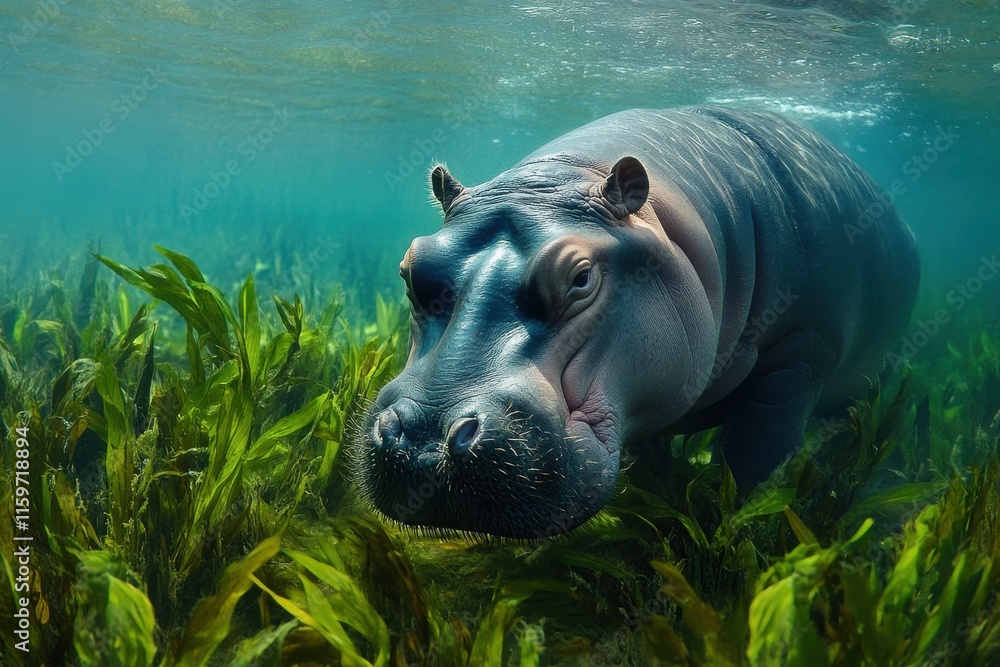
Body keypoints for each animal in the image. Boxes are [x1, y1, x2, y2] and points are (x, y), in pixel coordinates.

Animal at [353, 106, 919, 539]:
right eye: (411, 269)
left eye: (581, 277)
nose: (424, 441)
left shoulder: (801, 349)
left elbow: (750, 461)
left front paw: (720, 523)